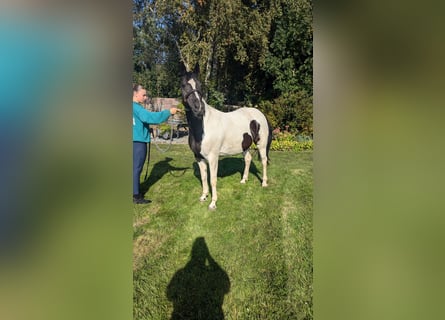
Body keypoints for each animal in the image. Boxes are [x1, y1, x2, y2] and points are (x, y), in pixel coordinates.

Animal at [180, 65, 270, 210]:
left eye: (199, 85)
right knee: (248, 159)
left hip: (261, 145)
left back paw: (264, 183)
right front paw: (204, 196)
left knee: (263, 160)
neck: (203, 126)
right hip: (245, 145)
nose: (198, 108)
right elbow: (204, 178)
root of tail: (260, 114)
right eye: (183, 85)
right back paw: (244, 180)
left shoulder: (213, 157)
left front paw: (213, 203)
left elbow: (213, 179)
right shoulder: (199, 157)